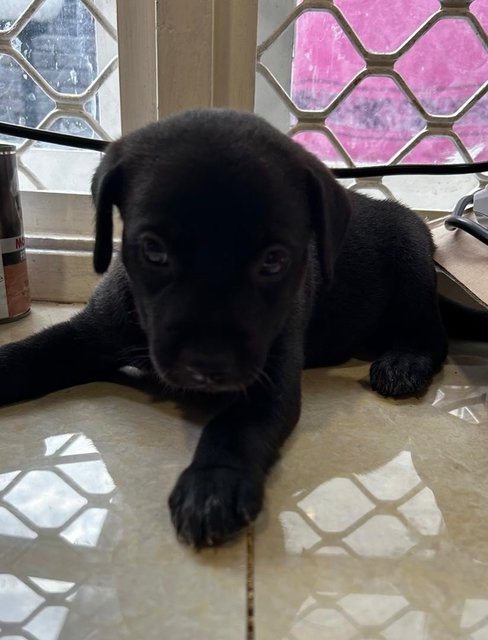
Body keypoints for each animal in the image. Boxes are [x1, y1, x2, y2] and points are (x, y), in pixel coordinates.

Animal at [0, 107, 476, 548]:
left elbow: (234, 426)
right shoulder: (89, 333)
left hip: (411, 267)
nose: (208, 365)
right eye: (153, 250)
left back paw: (404, 362)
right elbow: (30, 354)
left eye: (274, 260)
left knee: (432, 336)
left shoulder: (272, 375)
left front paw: (213, 483)